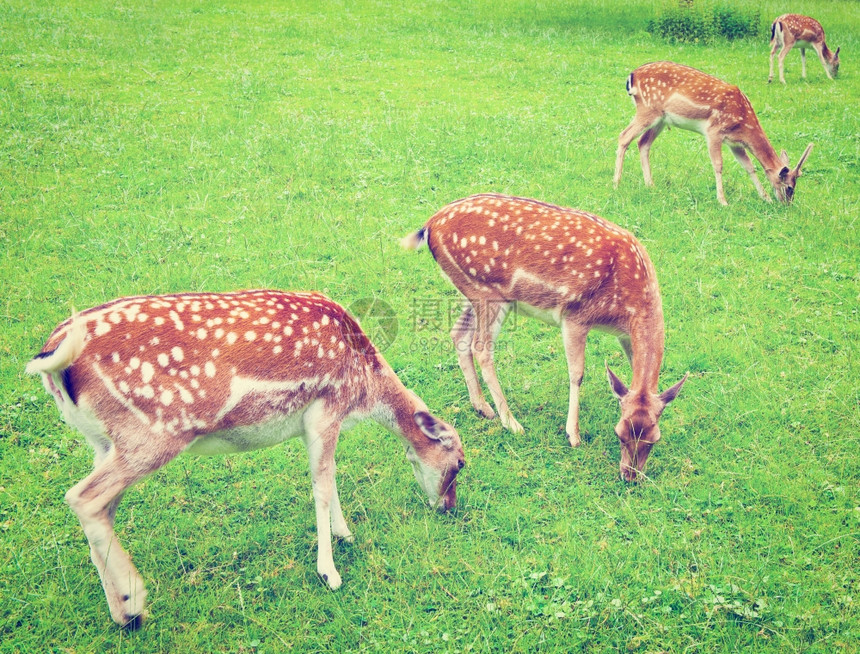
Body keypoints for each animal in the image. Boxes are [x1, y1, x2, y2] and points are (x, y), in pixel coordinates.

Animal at [26, 290, 466, 632]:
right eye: (459, 463)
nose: (448, 507)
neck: (361, 391)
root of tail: (54, 357)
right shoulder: (326, 408)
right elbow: (321, 487)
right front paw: (329, 572)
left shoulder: (315, 424)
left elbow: (329, 476)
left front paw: (345, 534)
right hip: (152, 435)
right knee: (83, 497)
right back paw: (132, 606)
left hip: (103, 442)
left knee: (101, 507)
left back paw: (123, 604)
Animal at [400, 192, 688, 484]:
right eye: (619, 433)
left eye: (654, 439)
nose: (630, 476)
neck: (628, 306)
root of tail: (430, 226)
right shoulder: (575, 316)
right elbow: (577, 373)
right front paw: (573, 435)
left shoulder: (624, 335)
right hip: (487, 292)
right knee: (481, 347)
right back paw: (512, 423)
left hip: (472, 292)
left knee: (459, 333)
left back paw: (483, 407)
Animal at [612, 62, 812, 205]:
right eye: (789, 187)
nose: (786, 204)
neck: (743, 123)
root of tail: (632, 77)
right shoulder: (714, 131)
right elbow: (718, 165)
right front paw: (723, 201)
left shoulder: (735, 143)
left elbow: (749, 167)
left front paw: (765, 198)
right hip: (648, 109)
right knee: (624, 136)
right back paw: (616, 183)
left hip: (661, 119)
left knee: (643, 143)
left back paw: (650, 184)